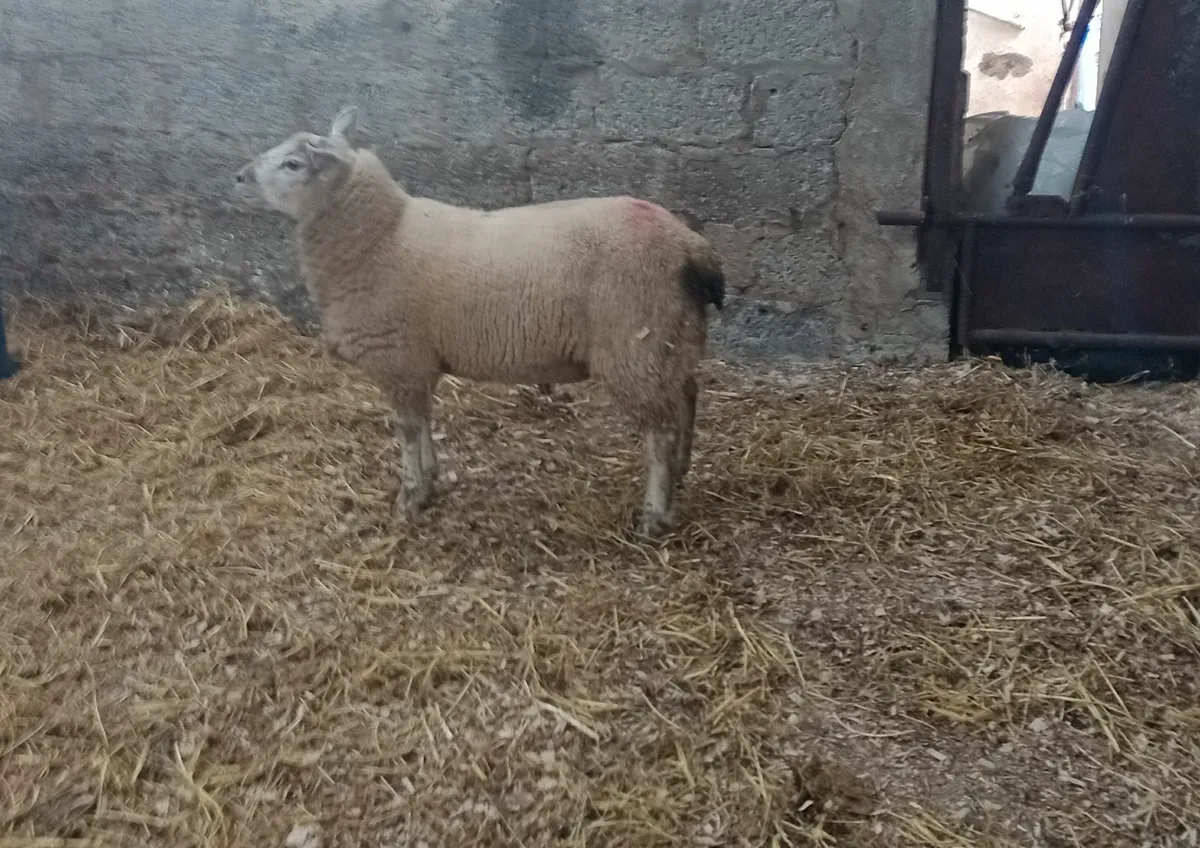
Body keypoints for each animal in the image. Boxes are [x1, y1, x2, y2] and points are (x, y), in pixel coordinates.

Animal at [233, 106, 725, 537]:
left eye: (293, 163)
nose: (238, 177)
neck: (380, 238)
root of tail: (691, 247)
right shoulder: (417, 363)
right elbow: (423, 422)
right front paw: (429, 478)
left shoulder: (397, 357)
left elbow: (407, 430)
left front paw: (411, 495)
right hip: (670, 341)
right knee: (687, 398)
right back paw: (681, 471)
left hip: (636, 348)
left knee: (660, 431)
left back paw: (655, 514)